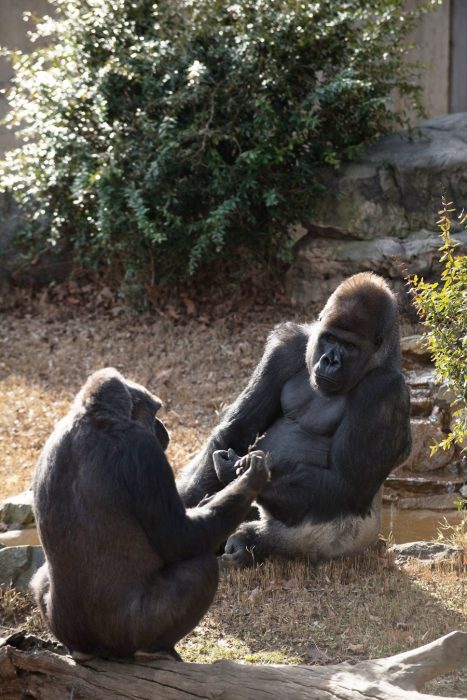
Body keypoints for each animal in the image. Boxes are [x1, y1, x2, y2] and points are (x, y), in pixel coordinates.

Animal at [32, 370, 266, 660]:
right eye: (154, 412)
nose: (162, 428)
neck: (95, 419)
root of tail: (93, 650)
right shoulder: (144, 451)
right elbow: (181, 537)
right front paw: (250, 479)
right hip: (127, 636)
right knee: (201, 568)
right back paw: (156, 650)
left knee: (39, 578)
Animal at [178, 270, 414, 568]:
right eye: (329, 338)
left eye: (349, 346)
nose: (330, 360)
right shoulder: (287, 347)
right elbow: (239, 428)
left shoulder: (384, 391)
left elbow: (345, 483)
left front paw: (240, 473)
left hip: (360, 536)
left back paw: (252, 542)